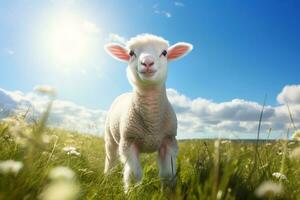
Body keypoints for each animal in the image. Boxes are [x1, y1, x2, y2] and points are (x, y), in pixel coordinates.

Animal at [103, 33, 192, 191]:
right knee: (110, 157)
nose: (147, 62)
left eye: (164, 52)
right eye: (131, 53)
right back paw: (108, 176)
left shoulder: (169, 141)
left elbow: (167, 174)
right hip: (110, 136)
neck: (152, 121)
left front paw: (168, 191)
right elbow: (134, 174)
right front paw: (132, 191)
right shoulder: (129, 142)